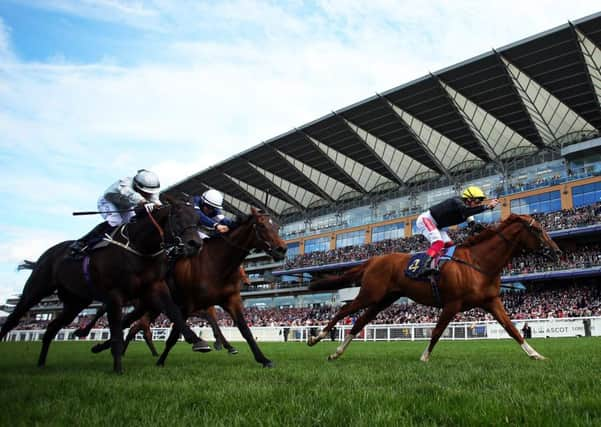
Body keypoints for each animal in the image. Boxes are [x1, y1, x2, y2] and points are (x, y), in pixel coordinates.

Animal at [0, 196, 211, 372]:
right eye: (177, 216)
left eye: (197, 220)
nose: (195, 244)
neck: (139, 248)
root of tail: (46, 254)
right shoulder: (114, 295)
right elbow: (117, 330)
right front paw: (117, 368)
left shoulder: (155, 288)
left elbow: (174, 312)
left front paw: (197, 340)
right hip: (35, 290)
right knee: (13, 320)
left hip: (75, 303)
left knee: (51, 328)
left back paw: (42, 363)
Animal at [308, 216, 560, 362]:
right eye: (538, 230)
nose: (557, 251)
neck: (478, 262)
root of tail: (373, 260)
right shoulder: (452, 303)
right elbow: (437, 331)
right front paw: (424, 357)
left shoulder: (491, 301)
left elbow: (512, 329)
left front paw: (535, 354)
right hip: (370, 294)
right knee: (344, 311)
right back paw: (316, 337)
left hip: (383, 300)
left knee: (359, 321)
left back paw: (337, 352)